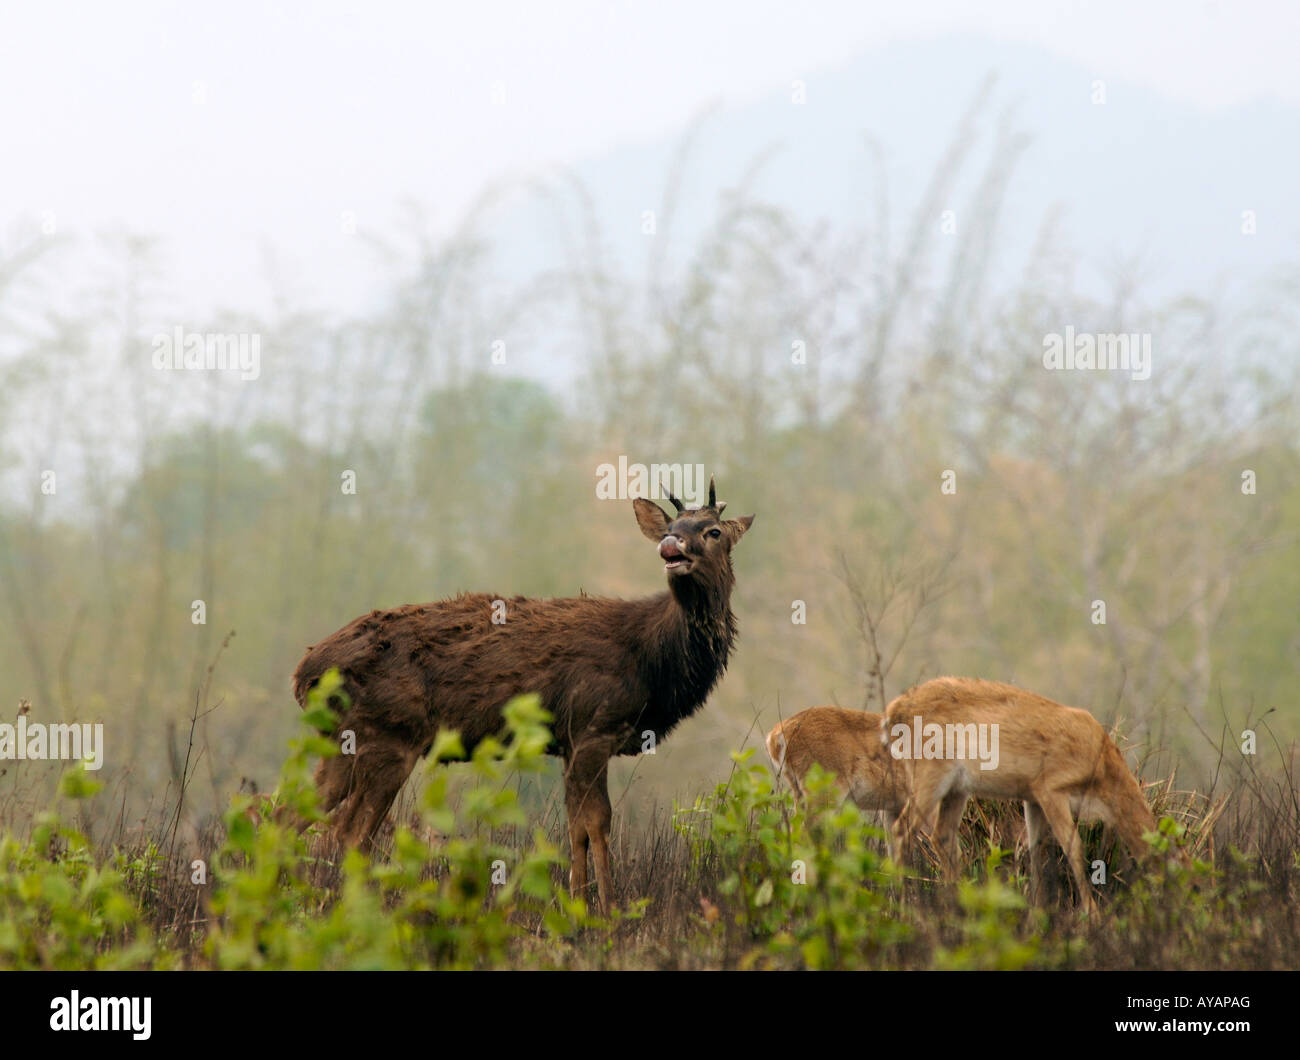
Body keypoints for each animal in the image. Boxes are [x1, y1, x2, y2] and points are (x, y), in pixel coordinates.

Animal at [287, 476, 754, 910]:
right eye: (670, 526)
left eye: (713, 531)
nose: (672, 544)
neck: (653, 657)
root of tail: (304, 673)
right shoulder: (594, 724)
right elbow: (598, 822)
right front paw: (606, 909)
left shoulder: (569, 740)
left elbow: (576, 825)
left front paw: (575, 904)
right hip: (390, 733)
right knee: (348, 832)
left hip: (344, 741)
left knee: (289, 811)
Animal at [878, 681, 1185, 910]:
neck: (1102, 772)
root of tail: (892, 712)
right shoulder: (1051, 788)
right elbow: (1074, 848)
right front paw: (1091, 914)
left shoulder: (1032, 797)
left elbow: (1036, 851)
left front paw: (1037, 914)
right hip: (930, 774)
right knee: (901, 830)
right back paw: (906, 908)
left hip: (956, 788)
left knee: (940, 836)